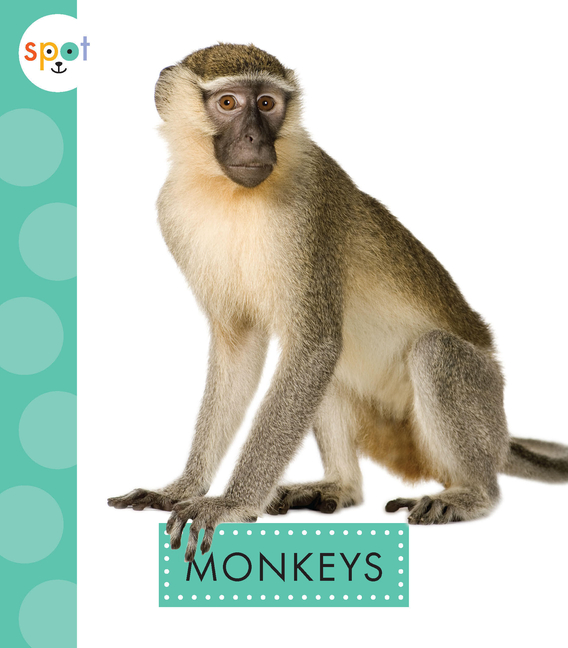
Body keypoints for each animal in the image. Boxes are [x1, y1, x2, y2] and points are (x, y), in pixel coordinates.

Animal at [108, 43, 568, 563]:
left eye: (267, 103)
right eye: (228, 103)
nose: (253, 138)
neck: (228, 193)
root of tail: (501, 433)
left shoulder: (309, 208)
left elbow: (313, 346)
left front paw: (229, 504)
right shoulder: (172, 212)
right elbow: (242, 348)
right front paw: (182, 488)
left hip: (483, 396)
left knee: (432, 352)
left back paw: (473, 494)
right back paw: (341, 486)